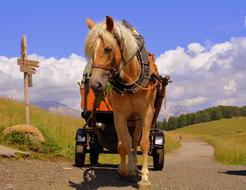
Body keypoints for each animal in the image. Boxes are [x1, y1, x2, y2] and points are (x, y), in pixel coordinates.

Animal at [84, 16, 160, 187]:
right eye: (91, 51)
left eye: (108, 49)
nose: (95, 85)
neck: (130, 81)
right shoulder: (119, 115)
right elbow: (123, 145)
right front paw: (124, 170)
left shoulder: (146, 113)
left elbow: (144, 143)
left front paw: (144, 178)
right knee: (128, 140)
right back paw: (131, 168)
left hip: (137, 120)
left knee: (135, 139)